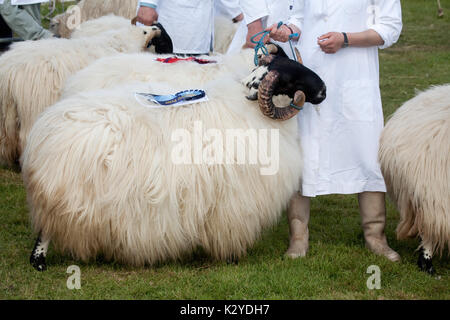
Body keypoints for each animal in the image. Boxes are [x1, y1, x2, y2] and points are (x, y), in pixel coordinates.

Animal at [0, 23, 169, 166]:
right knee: (24, 136)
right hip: (32, 107)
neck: (118, 43)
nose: (157, 27)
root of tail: (9, 73)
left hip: (5, 111)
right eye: (145, 31)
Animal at [23, 48, 326, 268]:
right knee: (45, 230)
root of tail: (43, 132)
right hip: (64, 194)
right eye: (289, 79)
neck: (253, 112)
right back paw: (39, 261)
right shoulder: (234, 199)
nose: (323, 89)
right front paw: (231, 258)